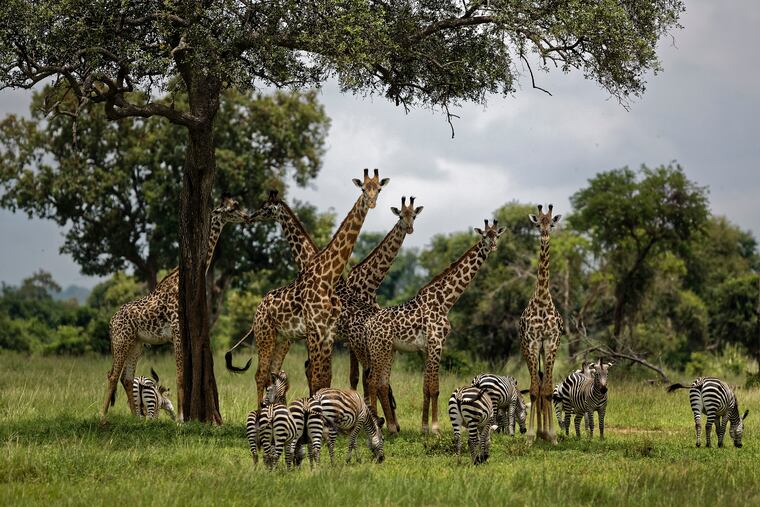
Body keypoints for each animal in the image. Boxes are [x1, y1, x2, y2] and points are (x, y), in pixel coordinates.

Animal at [99, 197, 250, 424]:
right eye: (232, 208)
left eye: (237, 204)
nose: (247, 216)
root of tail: (110, 322)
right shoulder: (177, 332)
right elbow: (180, 375)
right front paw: (181, 419)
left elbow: (181, 375)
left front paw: (181, 417)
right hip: (121, 340)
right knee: (112, 375)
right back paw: (102, 416)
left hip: (137, 344)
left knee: (126, 377)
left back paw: (136, 417)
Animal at [226, 169, 389, 401]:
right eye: (363, 188)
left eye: (379, 189)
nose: (251, 216)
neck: (326, 273)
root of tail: (258, 308)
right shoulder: (314, 330)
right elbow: (316, 376)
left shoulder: (326, 332)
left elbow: (322, 378)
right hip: (268, 334)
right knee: (262, 374)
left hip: (290, 338)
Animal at [363, 220, 505, 434]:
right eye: (484, 236)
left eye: (496, 235)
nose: (494, 246)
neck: (445, 301)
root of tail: (368, 325)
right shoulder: (437, 343)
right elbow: (435, 388)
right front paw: (435, 428)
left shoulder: (427, 347)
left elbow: (426, 387)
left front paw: (425, 427)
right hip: (379, 349)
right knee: (372, 382)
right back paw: (379, 425)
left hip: (389, 350)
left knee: (382, 384)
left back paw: (392, 428)